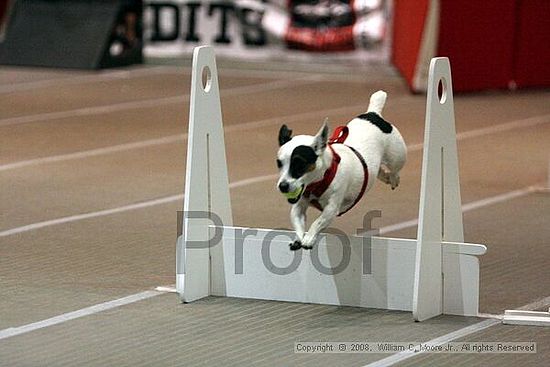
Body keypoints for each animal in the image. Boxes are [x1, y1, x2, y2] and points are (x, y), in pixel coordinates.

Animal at [278, 91, 408, 252]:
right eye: (279, 163)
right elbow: (297, 220)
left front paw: (309, 238)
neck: (320, 179)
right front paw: (299, 238)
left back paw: (393, 179)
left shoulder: (331, 209)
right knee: (377, 171)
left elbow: (318, 221)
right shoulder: (299, 206)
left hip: (397, 156)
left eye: (299, 164)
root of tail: (373, 114)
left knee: (395, 170)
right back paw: (385, 176)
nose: (282, 186)